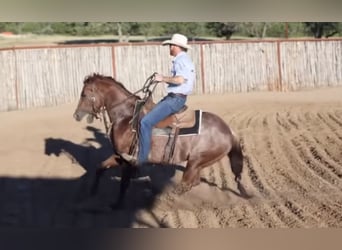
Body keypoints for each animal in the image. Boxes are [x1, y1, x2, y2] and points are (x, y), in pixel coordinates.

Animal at [73, 72, 246, 203]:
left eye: (84, 94)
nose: (76, 115)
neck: (126, 116)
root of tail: (228, 130)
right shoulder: (119, 156)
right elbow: (100, 167)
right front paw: (92, 192)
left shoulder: (127, 161)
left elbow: (123, 183)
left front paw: (117, 205)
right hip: (197, 164)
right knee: (193, 182)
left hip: (196, 162)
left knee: (185, 184)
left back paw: (165, 198)